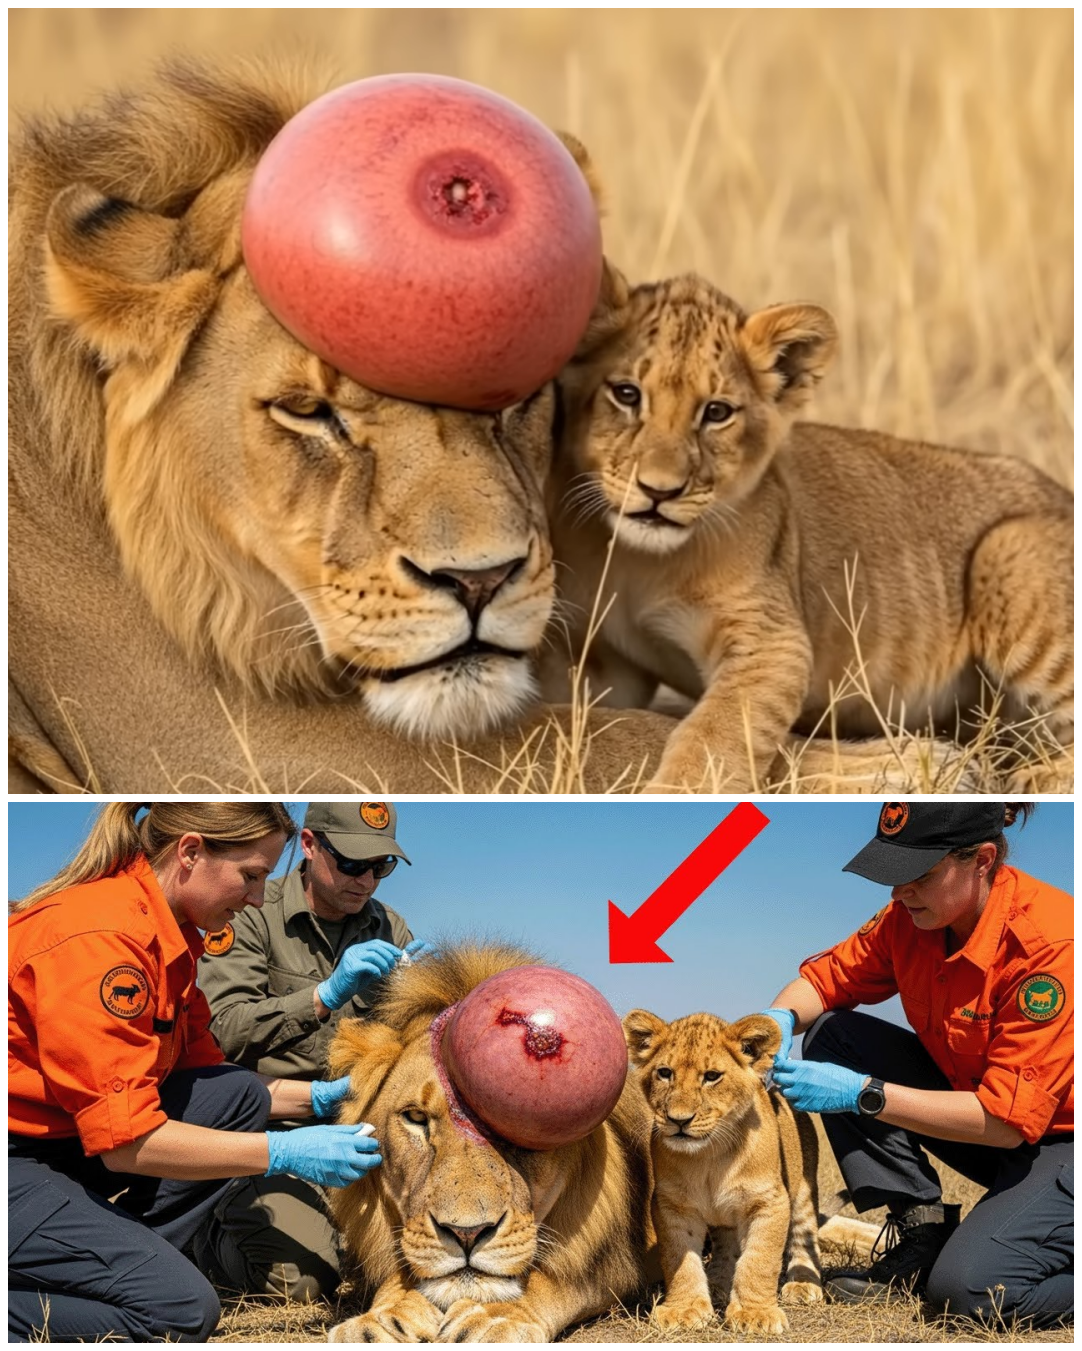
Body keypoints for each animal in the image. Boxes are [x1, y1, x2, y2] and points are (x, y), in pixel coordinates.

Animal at [324, 944, 657, 1343]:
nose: (466, 1234)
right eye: (416, 1118)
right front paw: (381, 1321)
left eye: (523, 1128)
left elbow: (545, 1281)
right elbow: (399, 1279)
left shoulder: (618, 1264)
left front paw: (492, 1317)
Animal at [543, 268, 1074, 793]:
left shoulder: (771, 641)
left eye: (716, 412)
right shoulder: (601, 660)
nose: (659, 491)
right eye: (627, 394)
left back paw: (1031, 778)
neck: (636, 559)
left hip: (1006, 550)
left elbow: (715, 732)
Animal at [623, 1008, 822, 1335]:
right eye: (664, 1072)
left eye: (712, 1077)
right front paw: (684, 1309)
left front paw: (755, 1314)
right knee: (727, 1247)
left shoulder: (769, 1201)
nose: (679, 1120)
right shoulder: (672, 1205)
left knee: (804, 1233)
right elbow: (679, 1258)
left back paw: (804, 1285)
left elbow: (760, 1260)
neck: (710, 1156)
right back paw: (717, 1283)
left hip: (804, 1189)